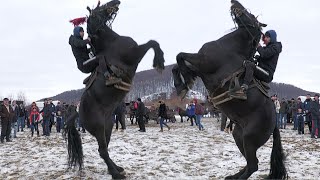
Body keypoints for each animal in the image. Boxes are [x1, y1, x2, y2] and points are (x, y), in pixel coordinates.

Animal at [65, 0, 165, 179]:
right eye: (98, 8)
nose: (115, 2)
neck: (111, 43)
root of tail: (78, 113)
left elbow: (152, 42)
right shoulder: (134, 54)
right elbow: (152, 43)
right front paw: (159, 60)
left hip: (108, 126)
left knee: (104, 149)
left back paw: (117, 168)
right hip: (99, 128)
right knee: (103, 150)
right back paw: (116, 173)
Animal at [172, 0, 288, 179]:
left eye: (251, 15)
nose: (235, 2)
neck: (230, 48)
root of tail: (275, 122)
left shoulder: (203, 62)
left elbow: (180, 56)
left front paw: (183, 83)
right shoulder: (198, 66)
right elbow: (176, 64)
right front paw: (181, 84)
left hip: (249, 139)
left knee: (253, 165)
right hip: (238, 136)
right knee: (249, 164)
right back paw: (233, 176)